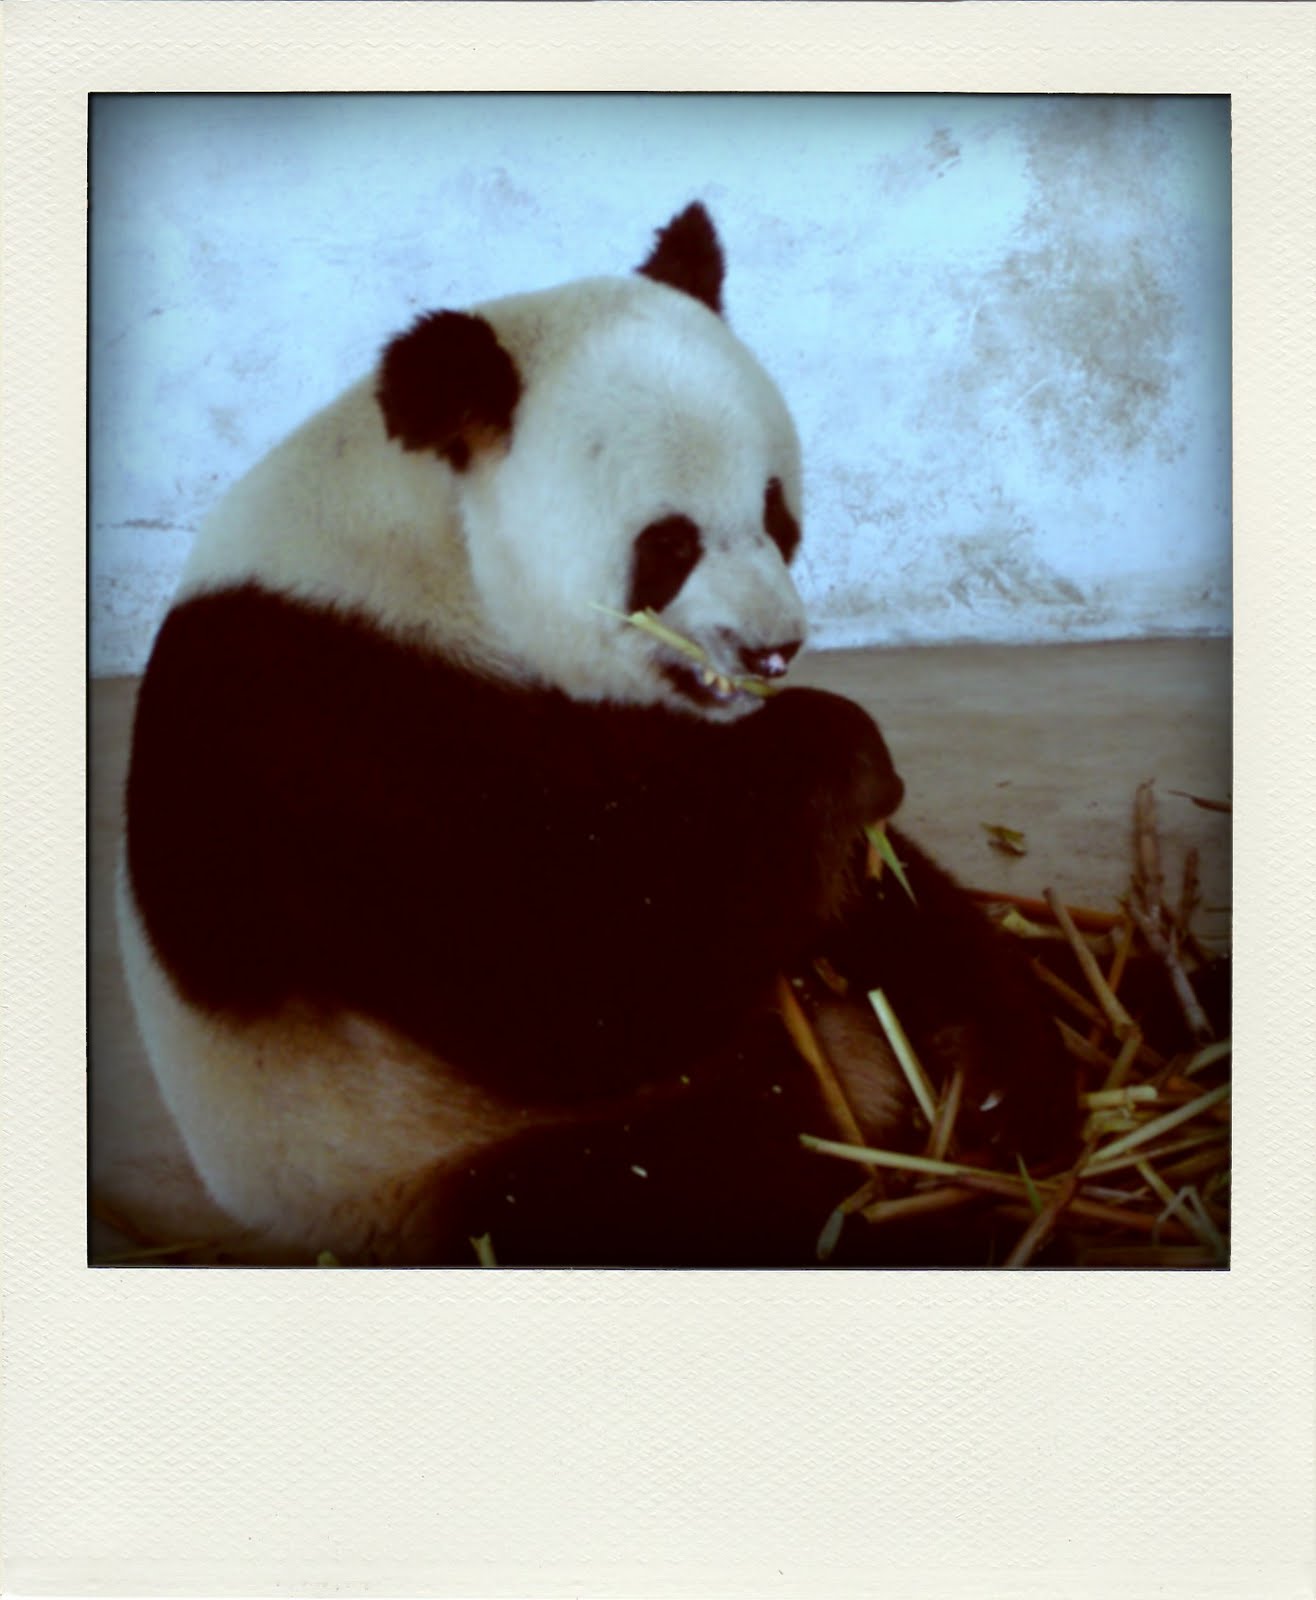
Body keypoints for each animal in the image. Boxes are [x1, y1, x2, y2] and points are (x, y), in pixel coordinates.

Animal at [117, 203, 1077, 1267]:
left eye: (776, 513)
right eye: (670, 544)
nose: (774, 647)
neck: (429, 547)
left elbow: (811, 882)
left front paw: (1004, 1061)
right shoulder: (319, 719)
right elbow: (577, 987)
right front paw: (845, 745)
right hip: (422, 1158)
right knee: (689, 1189)